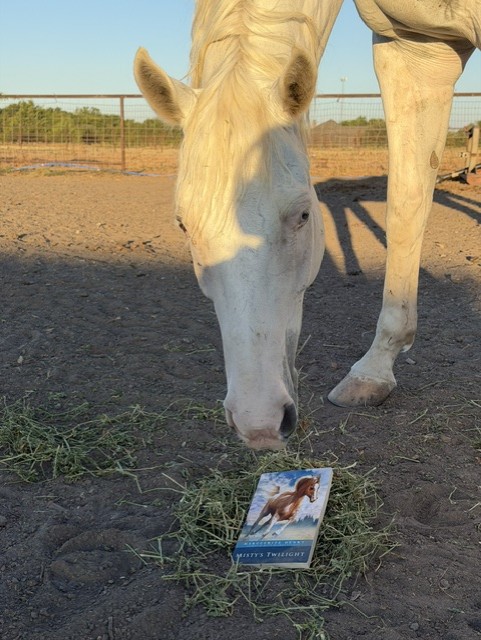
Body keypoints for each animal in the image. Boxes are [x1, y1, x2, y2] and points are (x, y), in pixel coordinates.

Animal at [134, 1, 479, 450]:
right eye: (182, 225)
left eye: (302, 215)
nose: (259, 423)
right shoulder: (417, 50)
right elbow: (408, 205)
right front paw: (374, 372)